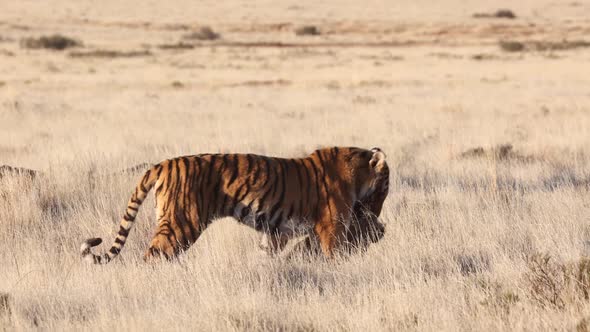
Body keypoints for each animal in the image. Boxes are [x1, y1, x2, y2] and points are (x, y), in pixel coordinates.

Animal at [81, 146, 390, 264]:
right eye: (387, 186)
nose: (378, 217)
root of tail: (163, 163)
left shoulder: (277, 232)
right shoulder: (331, 228)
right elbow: (334, 255)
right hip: (182, 223)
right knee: (152, 256)